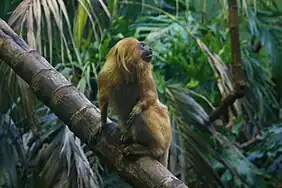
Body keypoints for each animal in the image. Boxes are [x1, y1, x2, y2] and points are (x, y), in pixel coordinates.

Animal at [97, 36, 172, 167]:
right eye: (142, 45)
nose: (150, 49)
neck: (127, 73)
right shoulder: (107, 73)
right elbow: (103, 99)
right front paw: (103, 122)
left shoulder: (145, 74)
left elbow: (151, 97)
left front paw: (137, 109)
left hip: (165, 128)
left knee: (146, 113)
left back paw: (153, 150)